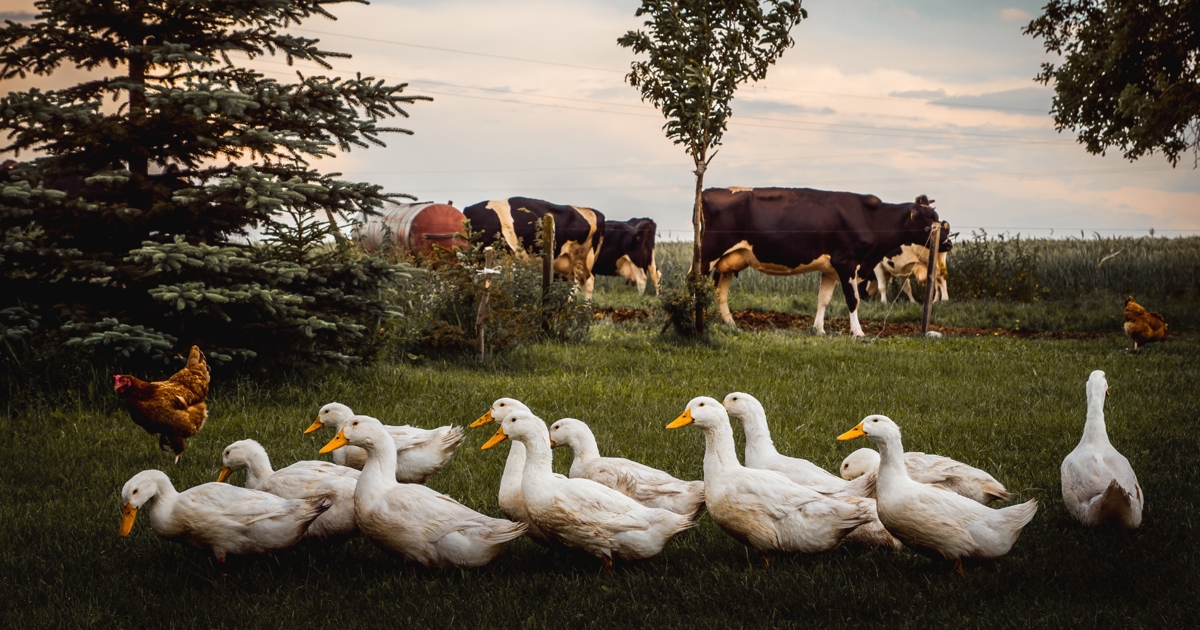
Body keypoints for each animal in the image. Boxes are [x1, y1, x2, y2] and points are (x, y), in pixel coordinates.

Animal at [699, 187, 944, 336]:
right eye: (928, 219)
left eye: (937, 217)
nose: (946, 243)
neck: (870, 218)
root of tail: (708, 191)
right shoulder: (846, 262)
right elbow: (853, 300)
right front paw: (858, 332)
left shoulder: (830, 269)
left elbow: (823, 299)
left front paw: (819, 329)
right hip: (707, 256)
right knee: (696, 284)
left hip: (728, 262)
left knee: (719, 292)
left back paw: (731, 324)